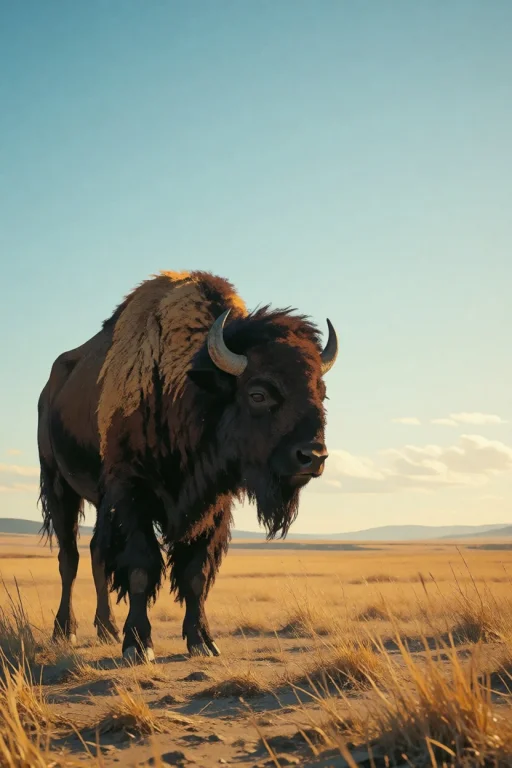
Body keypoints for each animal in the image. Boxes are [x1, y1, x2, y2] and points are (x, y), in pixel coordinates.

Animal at [37, 270, 338, 661]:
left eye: (322, 392)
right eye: (258, 393)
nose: (313, 456)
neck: (187, 389)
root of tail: (49, 389)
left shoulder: (212, 505)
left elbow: (196, 573)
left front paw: (202, 642)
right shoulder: (130, 494)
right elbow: (140, 567)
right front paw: (138, 645)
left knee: (95, 555)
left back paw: (106, 629)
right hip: (58, 484)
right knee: (69, 558)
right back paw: (65, 631)